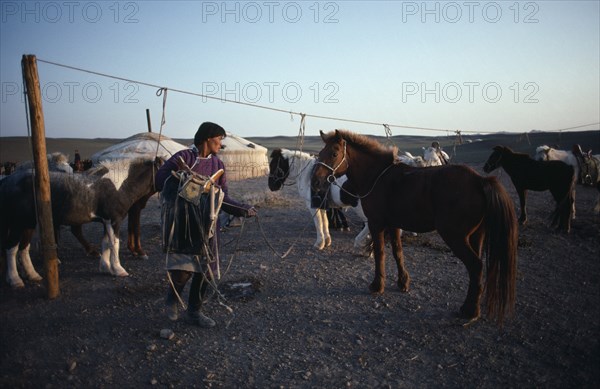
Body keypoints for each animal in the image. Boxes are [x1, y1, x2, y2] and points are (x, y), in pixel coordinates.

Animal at [0, 156, 162, 286]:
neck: (119, 184)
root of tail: (7, 180)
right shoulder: (113, 220)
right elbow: (114, 244)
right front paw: (118, 269)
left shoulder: (105, 221)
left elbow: (105, 243)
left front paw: (105, 267)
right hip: (17, 224)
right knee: (11, 248)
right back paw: (15, 279)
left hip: (28, 223)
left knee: (24, 248)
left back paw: (32, 275)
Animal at [312, 130, 516, 324]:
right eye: (321, 152)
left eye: (334, 153)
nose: (315, 181)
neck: (377, 176)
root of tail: (480, 181)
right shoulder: (393, 225)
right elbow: (397, 252)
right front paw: (403, 282)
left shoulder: (377, 224)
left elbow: (380, 253)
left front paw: (377, 285)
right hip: (476, 236)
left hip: (455, 236)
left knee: (476, 266)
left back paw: (470, 310)